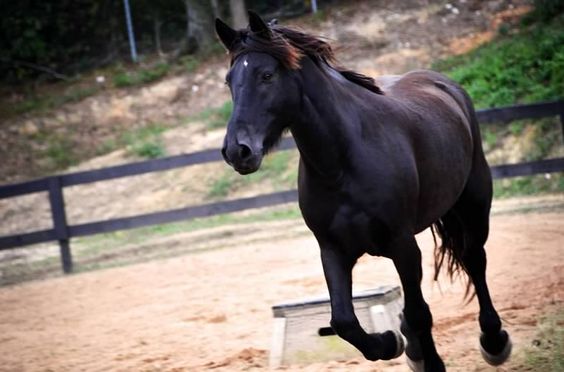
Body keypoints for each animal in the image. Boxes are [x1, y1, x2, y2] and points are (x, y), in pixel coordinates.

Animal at [215, 12, 512, 372]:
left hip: (473, 205)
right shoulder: (333, 249)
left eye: (266, 75)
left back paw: (494, 341)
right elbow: (343, 321)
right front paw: (389, 342)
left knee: (474, 260)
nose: (237, 151)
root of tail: (444, 85)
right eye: (229, 81)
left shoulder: (402, 244)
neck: (343, 160)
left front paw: (428, 359)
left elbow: (419, 313)